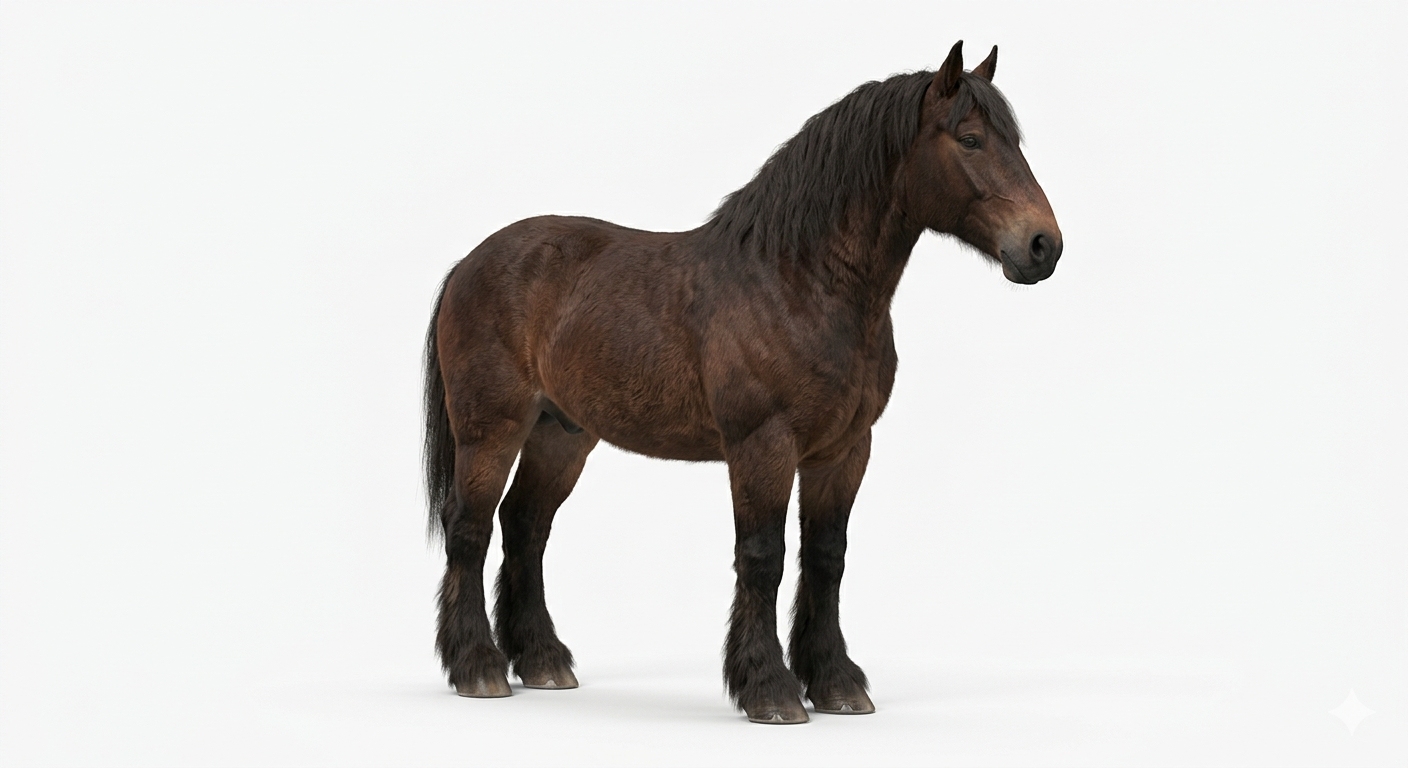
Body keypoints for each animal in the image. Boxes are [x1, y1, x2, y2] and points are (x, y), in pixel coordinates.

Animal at [423, 40, 1062, 724]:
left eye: (1013, 139)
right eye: (970, 139)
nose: (1042, 246)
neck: (796, 281)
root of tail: (469, 263)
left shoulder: (844, 450)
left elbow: (826, 556)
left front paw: (835, 682)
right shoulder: (763, 445)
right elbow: (763, 556)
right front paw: (770, 689)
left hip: (561, 433)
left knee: (525, 527)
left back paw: (543, 661)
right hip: (491, 429)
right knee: (470, 528)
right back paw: (478, 668)